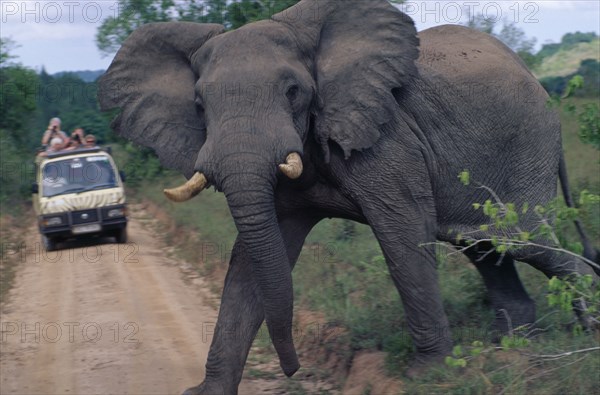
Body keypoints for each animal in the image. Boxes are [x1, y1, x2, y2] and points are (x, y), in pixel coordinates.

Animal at [97, 0, 596, 392]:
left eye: (293, 91)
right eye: (200, 105)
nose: (293, 369)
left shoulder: (388, 137)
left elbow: (402, 235)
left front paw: (429, 374)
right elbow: (253, 259)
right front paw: (207, 392)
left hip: (526, 144)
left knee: (522, 240)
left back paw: (582, 328)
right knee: (484, 246)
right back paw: (516, 344)